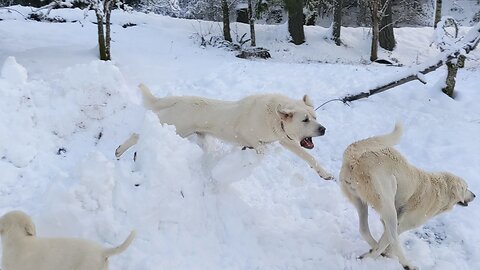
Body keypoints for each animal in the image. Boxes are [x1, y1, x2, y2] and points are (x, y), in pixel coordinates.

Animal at [116, 84, 334, 181]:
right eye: (305, 120)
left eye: (315, 116)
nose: (323, 129)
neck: (273, 117)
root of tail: (178, 99)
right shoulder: (254, 138)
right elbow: (261, 150)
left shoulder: (284, 140)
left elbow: (308, 157)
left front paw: (325, 173)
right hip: (175, 127)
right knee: (137, 135)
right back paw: (119, 150)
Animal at [340, 123, 474, 270]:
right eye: (466, 188)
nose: (474, 195)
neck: (438, 191)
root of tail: (356, 158)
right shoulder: (401, 223)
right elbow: (388, 241)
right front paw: (381, 254)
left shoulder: (389, 222)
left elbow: (384, 241)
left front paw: (382, 253)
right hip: (389, 203)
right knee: (393, 240)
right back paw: (406, 263)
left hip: (360, 202)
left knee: (364, 229)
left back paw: (374, 250)